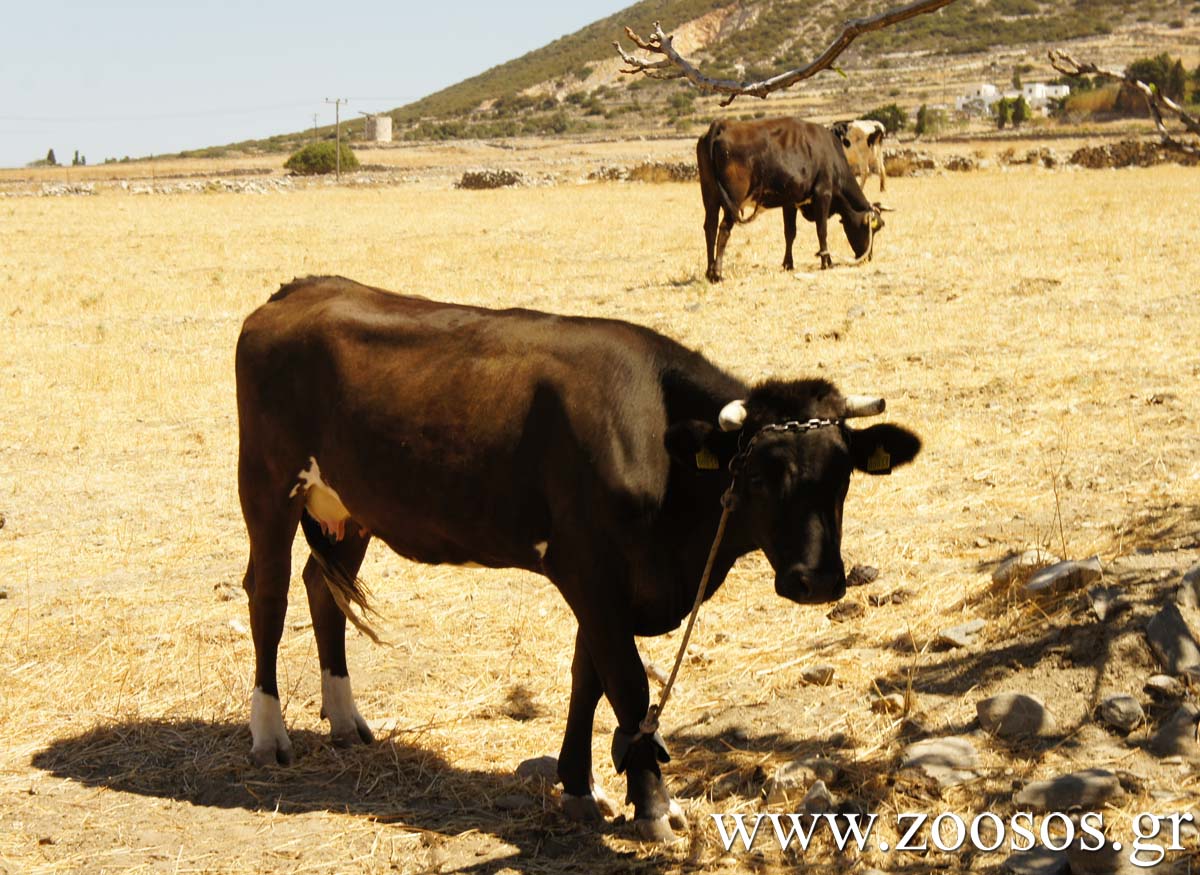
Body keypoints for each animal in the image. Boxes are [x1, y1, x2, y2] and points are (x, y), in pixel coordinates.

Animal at [236, 278, 926, 840]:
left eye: (843, 474)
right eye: (757, 474)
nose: (818, 580)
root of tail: (298, 290)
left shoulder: (610, 586)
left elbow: (585, 678)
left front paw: (580, 787)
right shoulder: (587, 571)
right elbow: (627, 684)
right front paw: (653, 807)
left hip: (350, 507)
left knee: (323, 588)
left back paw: (345, 720)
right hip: (267, 486)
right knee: (269, 593)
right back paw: (269, 735)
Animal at [700, 115, 888, 279]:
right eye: (871, 228)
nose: (868, 257)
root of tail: (723, 124)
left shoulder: (790, 202)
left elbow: (790, 233)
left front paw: (788, 264)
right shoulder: (823, 194)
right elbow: (822, 230)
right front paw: (826, 261)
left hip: (710, 197)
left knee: (710, 227)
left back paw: (709, 271)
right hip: (733, 200)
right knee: (723, 229)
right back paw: (717, 273)